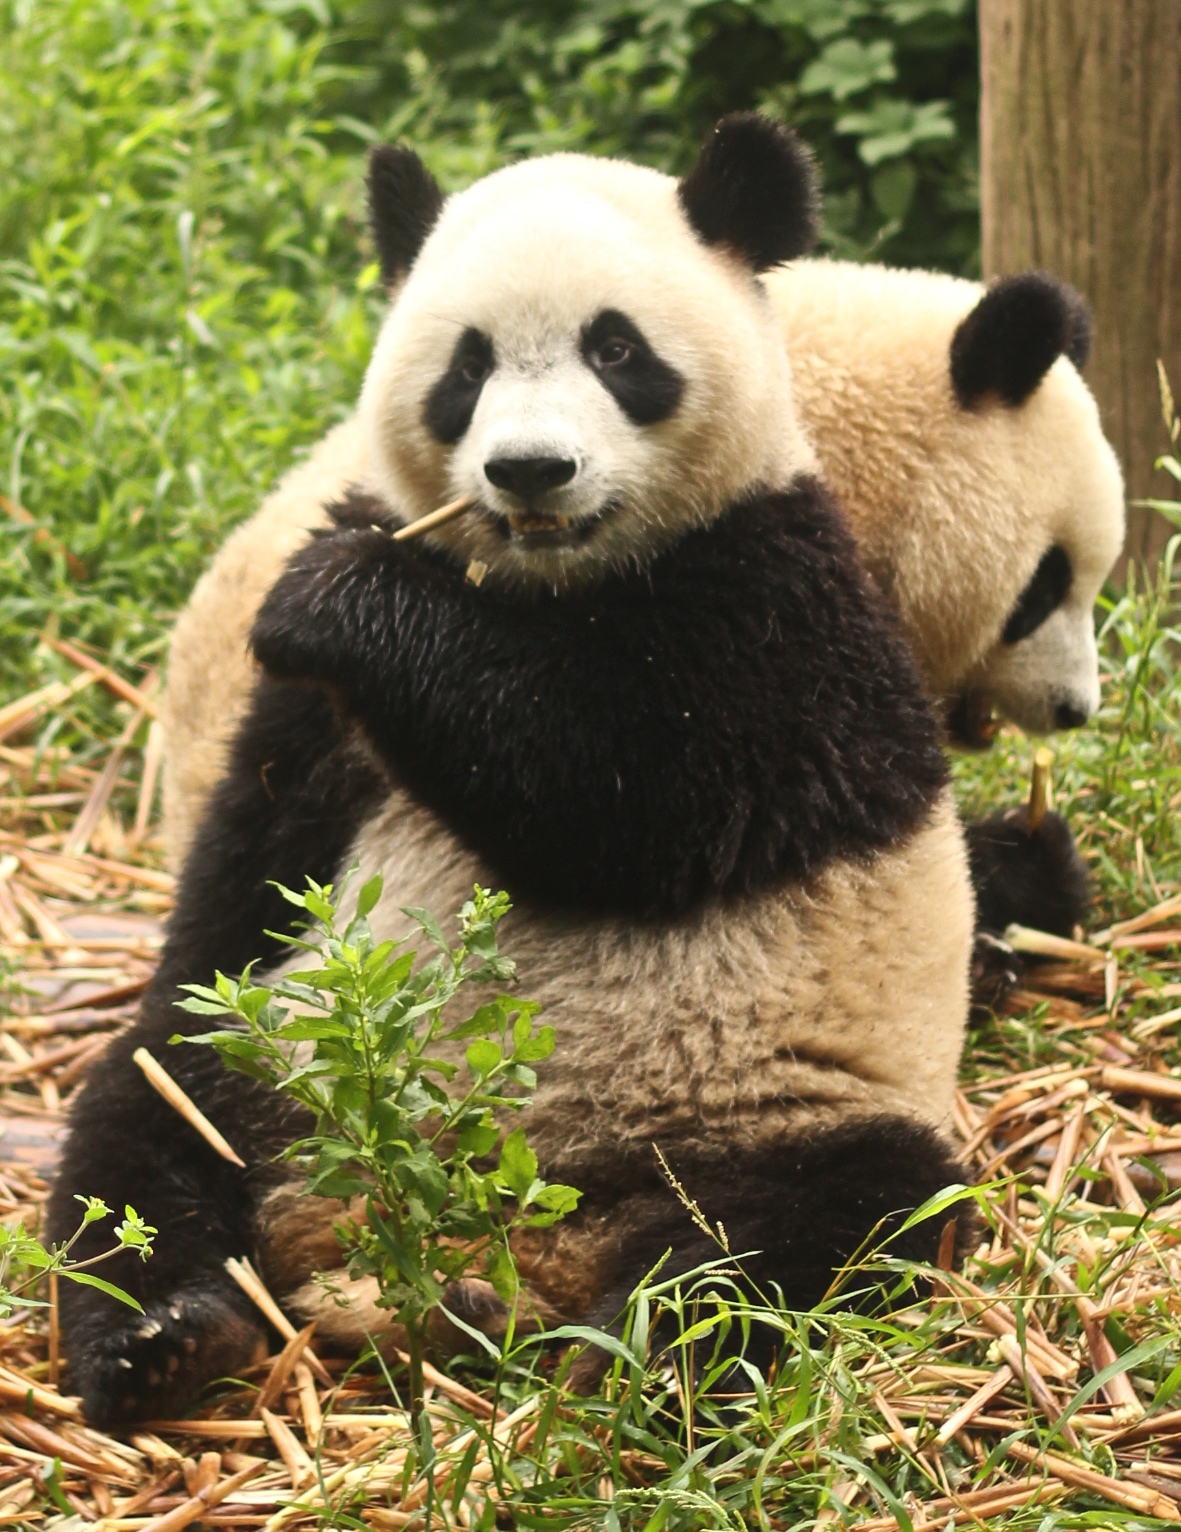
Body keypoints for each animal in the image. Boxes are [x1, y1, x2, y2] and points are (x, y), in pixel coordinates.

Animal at [50, 116, 980, 1421]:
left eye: (616, 347)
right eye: (466, 365)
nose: (530, 470)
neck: (537, 587)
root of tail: (504, 1235)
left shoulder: (780, 592)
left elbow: (641, 802)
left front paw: (346, 601)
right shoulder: (314, 730)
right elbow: (248, 868)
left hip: (787, 1107)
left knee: (827, 1219)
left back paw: (643, 1354)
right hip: (269, 1080)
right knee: (143, 1129)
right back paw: (163, 1336)